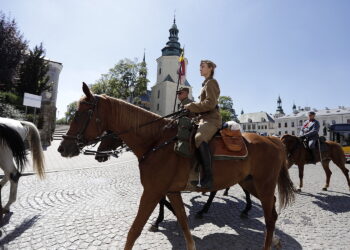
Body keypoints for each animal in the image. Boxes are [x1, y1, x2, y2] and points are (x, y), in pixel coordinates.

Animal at [58, 84, 296, 250]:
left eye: (79, 114)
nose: (62, 147)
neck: (156, 140)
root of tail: (274, 140)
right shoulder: (171, 191)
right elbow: (182, 221)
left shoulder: (152, 191)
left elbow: (134, 230)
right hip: (251, 183)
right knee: (272, 212)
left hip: (264, 185)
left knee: (270, 216)